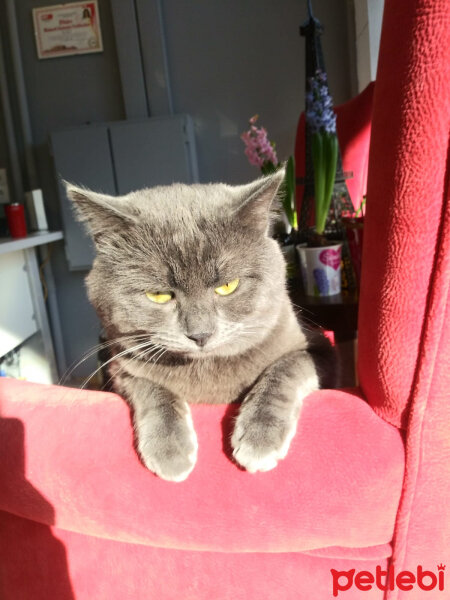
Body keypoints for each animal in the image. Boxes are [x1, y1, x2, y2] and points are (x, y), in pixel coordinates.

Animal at [66, 170, 334, 482]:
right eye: (159, 295)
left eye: (227, 286)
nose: (200, 334)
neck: (206, 372)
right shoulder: (119, 366)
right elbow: (150, 385)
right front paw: (170, 451)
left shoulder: (320, 349)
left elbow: (286, 367)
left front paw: (259, 439)